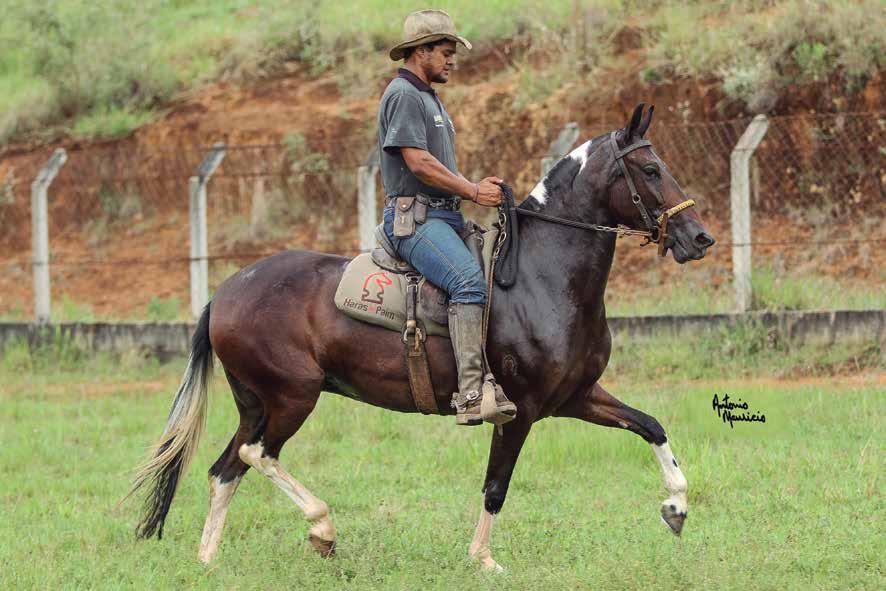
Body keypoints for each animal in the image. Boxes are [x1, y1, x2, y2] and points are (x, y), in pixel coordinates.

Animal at [128, 104, 720, 572]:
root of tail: (226, 292)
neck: (544, 274)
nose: (699, 238)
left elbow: (651, 426)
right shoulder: (520, 411)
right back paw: (323, 530)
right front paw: (483, 560)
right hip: (293, 396)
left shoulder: (576, 397)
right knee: (256, 454)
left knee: (225, 468)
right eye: (651, 168)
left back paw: (208, 559)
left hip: (258, 401)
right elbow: (496, 486)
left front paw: (676, 508)